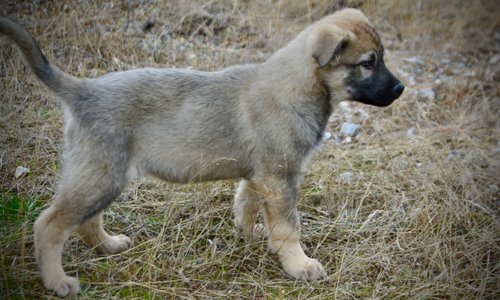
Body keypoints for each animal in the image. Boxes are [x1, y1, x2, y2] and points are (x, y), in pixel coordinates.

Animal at [0, 8, 402, 296]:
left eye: (381, 58)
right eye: (368, 63)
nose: (400, 89)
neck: (299, 85)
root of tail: (83, 90)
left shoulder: (260, 176)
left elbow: (246, 203)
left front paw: (250, 234)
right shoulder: (279, 178)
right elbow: (289, 227)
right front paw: (299, 265)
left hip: (104, 174)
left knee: (86, 220)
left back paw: (109, 246)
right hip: (100, 175)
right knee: (50, 224)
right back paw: (57, 281)